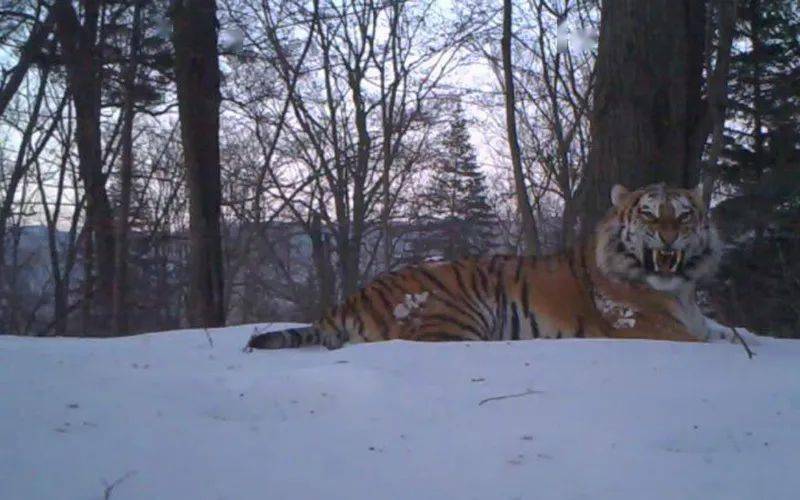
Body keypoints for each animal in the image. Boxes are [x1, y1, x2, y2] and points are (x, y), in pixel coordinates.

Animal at [247, 182, 720, 350]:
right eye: (648, 215)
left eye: (683, 215)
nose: (669, 237)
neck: (679, 290)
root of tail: (350, 299)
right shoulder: (649, 328)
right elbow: (707, 342)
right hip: (457, 315)